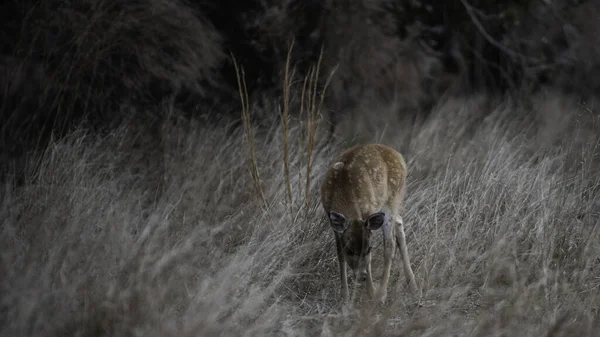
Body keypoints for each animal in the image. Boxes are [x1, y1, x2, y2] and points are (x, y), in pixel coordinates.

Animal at [318, 142, 418, 302]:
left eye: (368, 249)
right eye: (350, 250)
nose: (361, 276)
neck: (344, 189)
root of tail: (400, 156)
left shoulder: (368, 212)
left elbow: (370, 259)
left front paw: (371, 292)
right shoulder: (332, 220)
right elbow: (339, 254)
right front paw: (344, 296)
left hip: (393, 198)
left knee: (389, 245)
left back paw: (381, 295)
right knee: (399, 221)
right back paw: (413, 286)